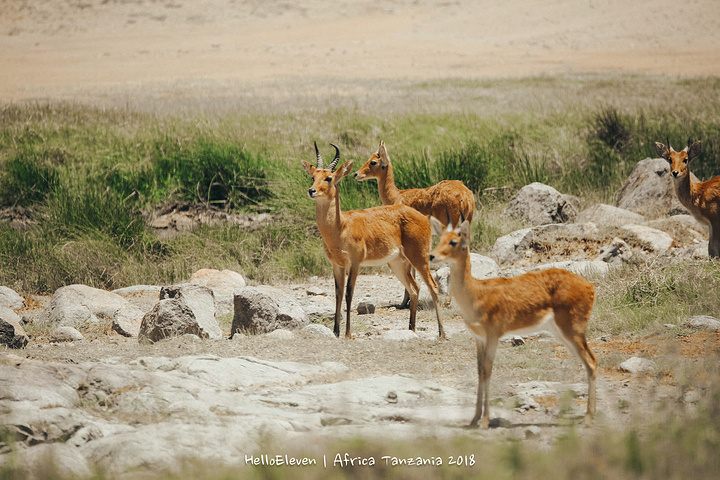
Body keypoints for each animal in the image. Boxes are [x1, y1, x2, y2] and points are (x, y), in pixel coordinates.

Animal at [300, 142, 444, 338]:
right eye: (313, 176)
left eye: (329, 178)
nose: (311, 191)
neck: (340, 227)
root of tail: (421, 216)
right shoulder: (337, 264)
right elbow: (338, 294)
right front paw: (336, 331)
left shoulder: (355, 262)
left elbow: (349, 293)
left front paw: (347, 333)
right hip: (397, 263)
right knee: (415, 288)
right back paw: (411, 329)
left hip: (419, 258)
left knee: (433, 287)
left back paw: (441, 333)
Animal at [428, 218, 596, 428]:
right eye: (440, 238)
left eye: (453, 241)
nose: (431, 255)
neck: (476, 294)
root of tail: (590, 287)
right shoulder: (479, 339)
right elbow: (479, 372)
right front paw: (474, 419)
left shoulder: (493, 336)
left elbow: (488, 371)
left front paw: (484, 421)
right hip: (562, 332)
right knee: (587, 362)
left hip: (573, 330)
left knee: (591, 361)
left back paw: (588, 419)